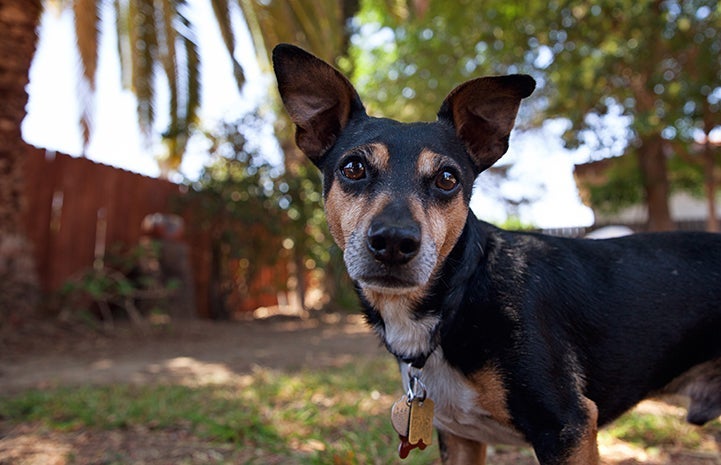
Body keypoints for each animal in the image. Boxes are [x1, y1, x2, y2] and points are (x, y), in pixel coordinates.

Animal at [272, 41, 720, 462]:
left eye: (447, 178)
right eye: (353, 169)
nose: (395, 241)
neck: (460, 297)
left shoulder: (566, 427)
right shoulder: (460, 437)